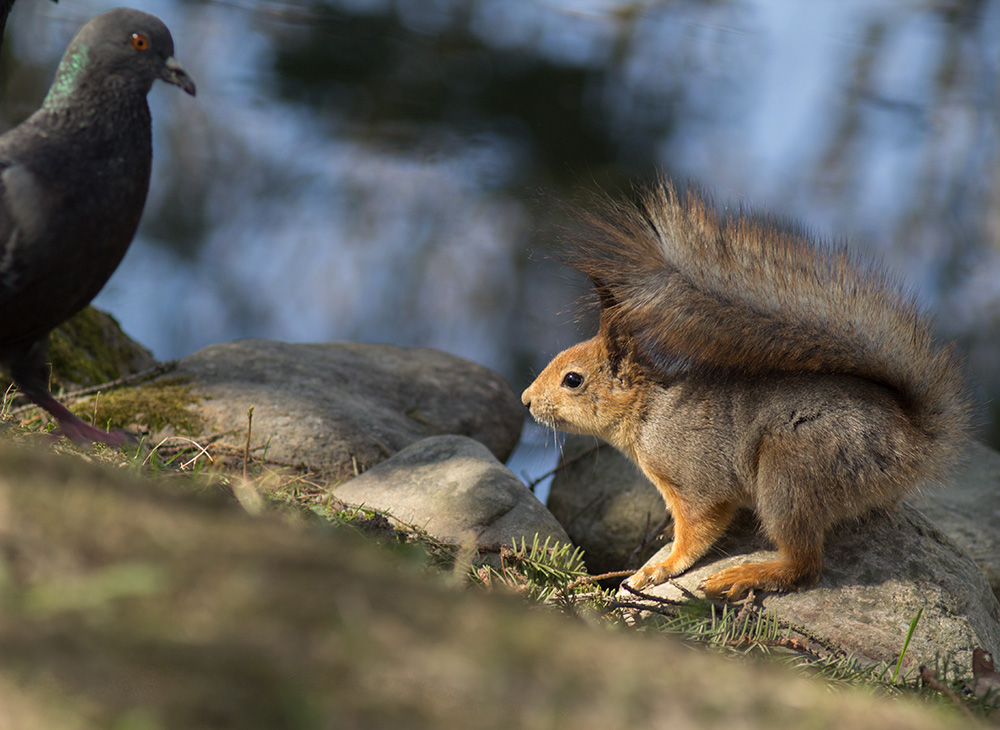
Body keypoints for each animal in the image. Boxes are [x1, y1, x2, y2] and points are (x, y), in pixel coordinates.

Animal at [524, 181, 968, 596]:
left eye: (573, 380)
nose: (526, 400)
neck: (649, 412)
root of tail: (913, 440)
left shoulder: (696, 479)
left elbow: (698, 530)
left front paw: (659, 567)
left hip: (792, 471)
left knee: (805, 565)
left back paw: (746, 575)